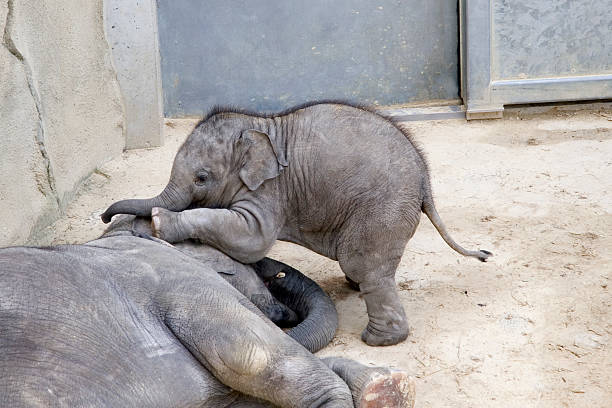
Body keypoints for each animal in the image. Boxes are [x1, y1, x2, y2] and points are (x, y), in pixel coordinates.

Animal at [101, 100, 492, 346]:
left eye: (201, 178)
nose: (106, 215)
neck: (258, 127)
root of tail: (426, 183)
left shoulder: (270, 190)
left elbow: (251, 240)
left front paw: (159, 223)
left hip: (383, 209)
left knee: (365, 265)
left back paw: (378, 340)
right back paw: (354, 289)